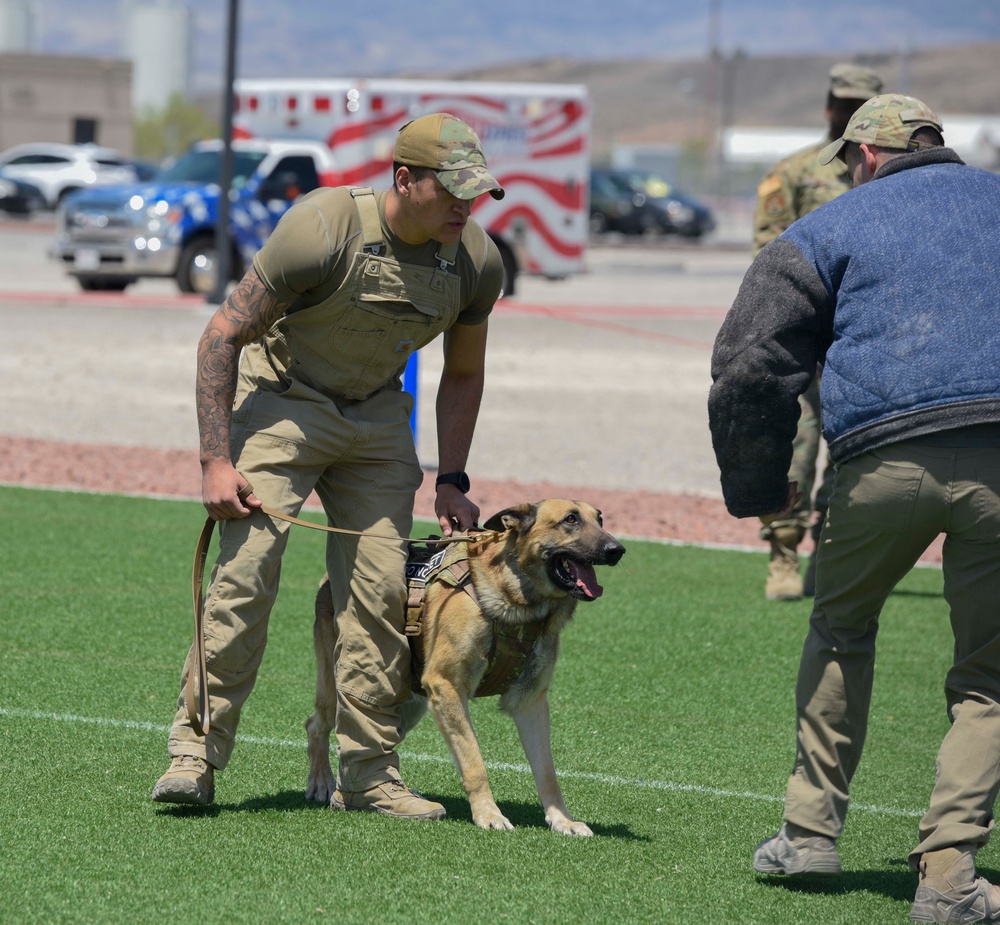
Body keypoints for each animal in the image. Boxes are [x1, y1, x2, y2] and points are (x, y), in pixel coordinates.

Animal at [306, 502, 624, 832]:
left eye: (600, 519)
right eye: (570, 519)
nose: (617, 550)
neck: (518, 602)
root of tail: (330, 581)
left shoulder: (530, 703)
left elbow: (547, 772)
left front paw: (562, 819)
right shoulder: (446, 686)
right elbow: (474, 761)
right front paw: (488, 813)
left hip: (409, 705)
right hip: (346, 688)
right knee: (317, 725)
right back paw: (322, 783)